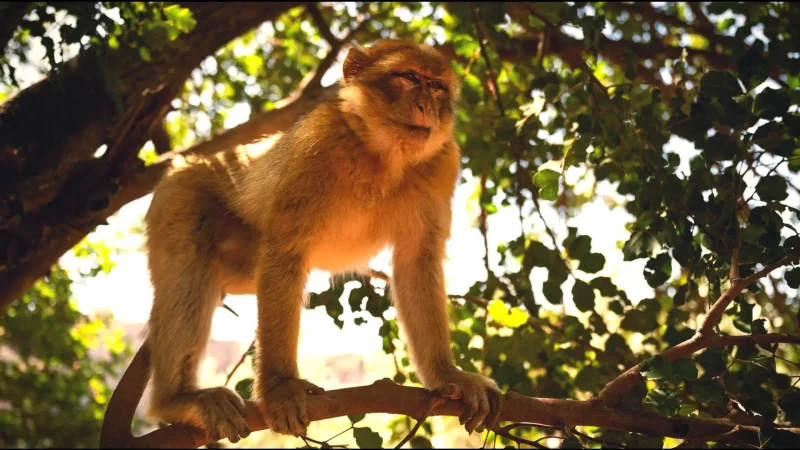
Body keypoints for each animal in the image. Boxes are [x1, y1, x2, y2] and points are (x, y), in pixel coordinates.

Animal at [143, 39, 502, 443]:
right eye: (409, 77)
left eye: (437, 86)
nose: (427, 105)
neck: (381, 156)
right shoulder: (317, 147)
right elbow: (286, 250)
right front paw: (281, 387)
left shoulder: (442, 162)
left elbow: (416, 262)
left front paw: (447, 376)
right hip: (180, 194)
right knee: (188, 273)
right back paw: (179, 399)